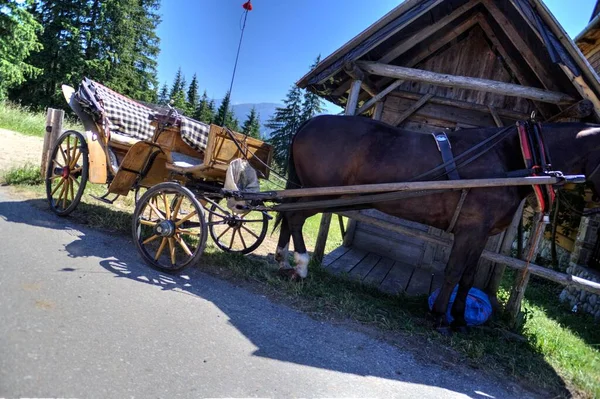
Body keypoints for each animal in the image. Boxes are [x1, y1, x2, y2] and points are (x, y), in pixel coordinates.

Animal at [278, 114, 600, 330]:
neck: (512, 158)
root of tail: (308, 124)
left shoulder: (481, 234)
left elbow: (468, 277)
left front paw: (459, 318)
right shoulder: (469, 230)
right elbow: (453, 272)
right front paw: (440, 315)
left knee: (284, 213)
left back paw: (283, 260)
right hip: (321, 193)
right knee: (293, 217)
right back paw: (301, 266)